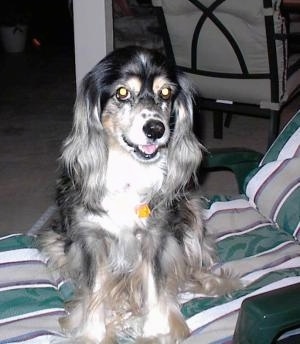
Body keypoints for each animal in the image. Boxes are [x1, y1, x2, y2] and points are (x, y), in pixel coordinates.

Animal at [38, 46, 239, 344]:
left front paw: (156, 330)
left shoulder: (156, 235)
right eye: (122, 93)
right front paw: (94, 333)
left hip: (190, 214)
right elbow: (95, 289)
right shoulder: (91, 237)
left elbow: (154, 284)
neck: (129, 172)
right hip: (56, 241)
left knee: (192, 266)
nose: (155, 129)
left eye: (165, 93)